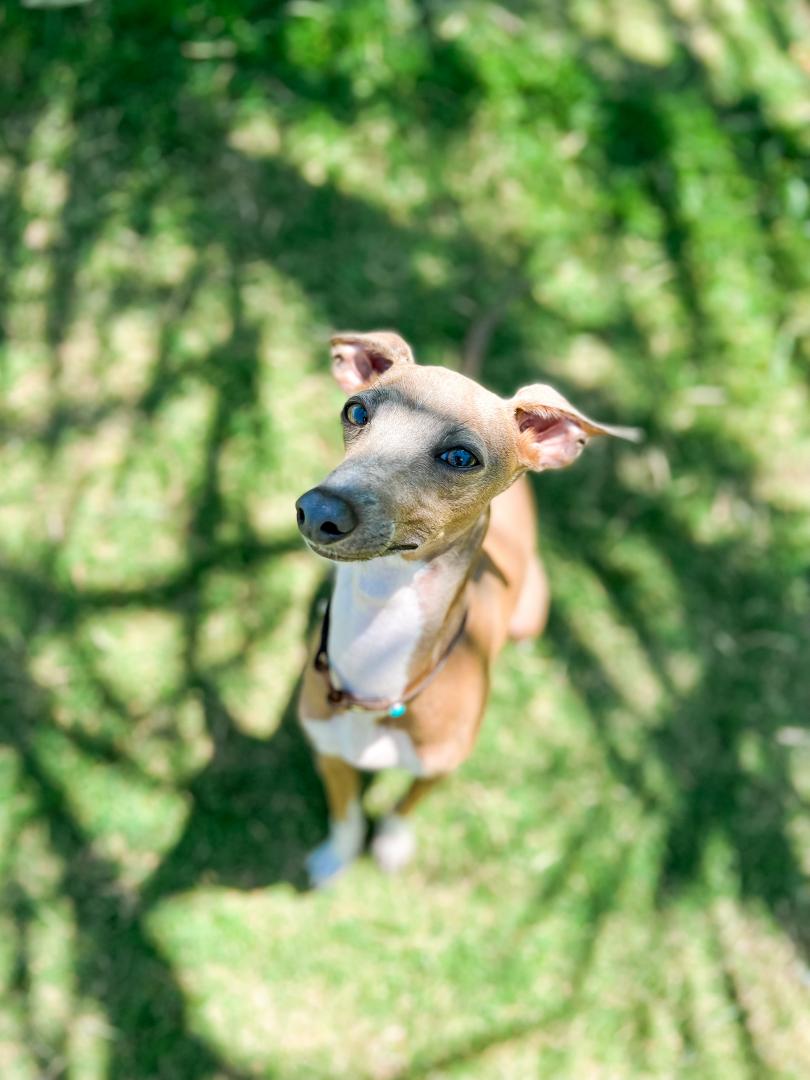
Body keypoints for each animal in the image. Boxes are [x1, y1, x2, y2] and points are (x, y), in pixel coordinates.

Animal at [295, 330, 639, 885]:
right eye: (356, 411)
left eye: (460, 457)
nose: (319, 510)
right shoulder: (329, 751)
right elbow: (346, 815)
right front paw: (335, 859)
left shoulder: (440, 769)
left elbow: (402, 809)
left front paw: (391, 846)